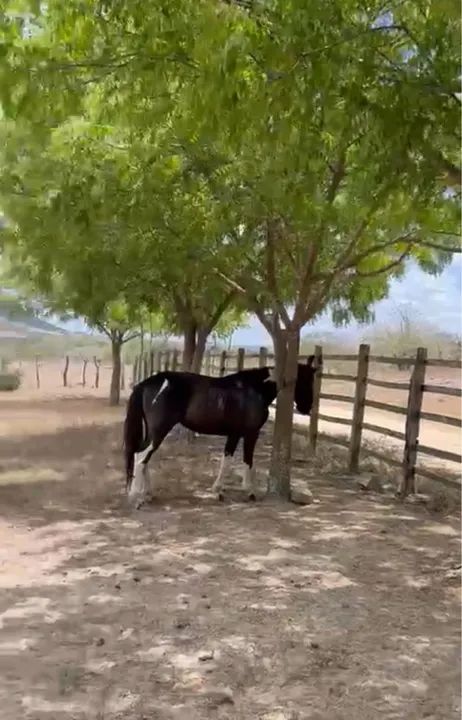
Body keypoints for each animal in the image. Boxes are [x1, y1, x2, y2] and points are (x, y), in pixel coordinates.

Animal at [123, 359, 315, 506]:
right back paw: (136, 497)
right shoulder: (249, 434)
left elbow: (227, 459)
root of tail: (147, 383)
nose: (306, 408)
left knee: (143, 457)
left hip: (153, 431)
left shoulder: (234, 434)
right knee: (141, 455)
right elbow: (246, 461)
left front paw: (218, 490)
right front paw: (249, 492)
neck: (253, 389)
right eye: (307, 380)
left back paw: (147, 493)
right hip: (160, 430)